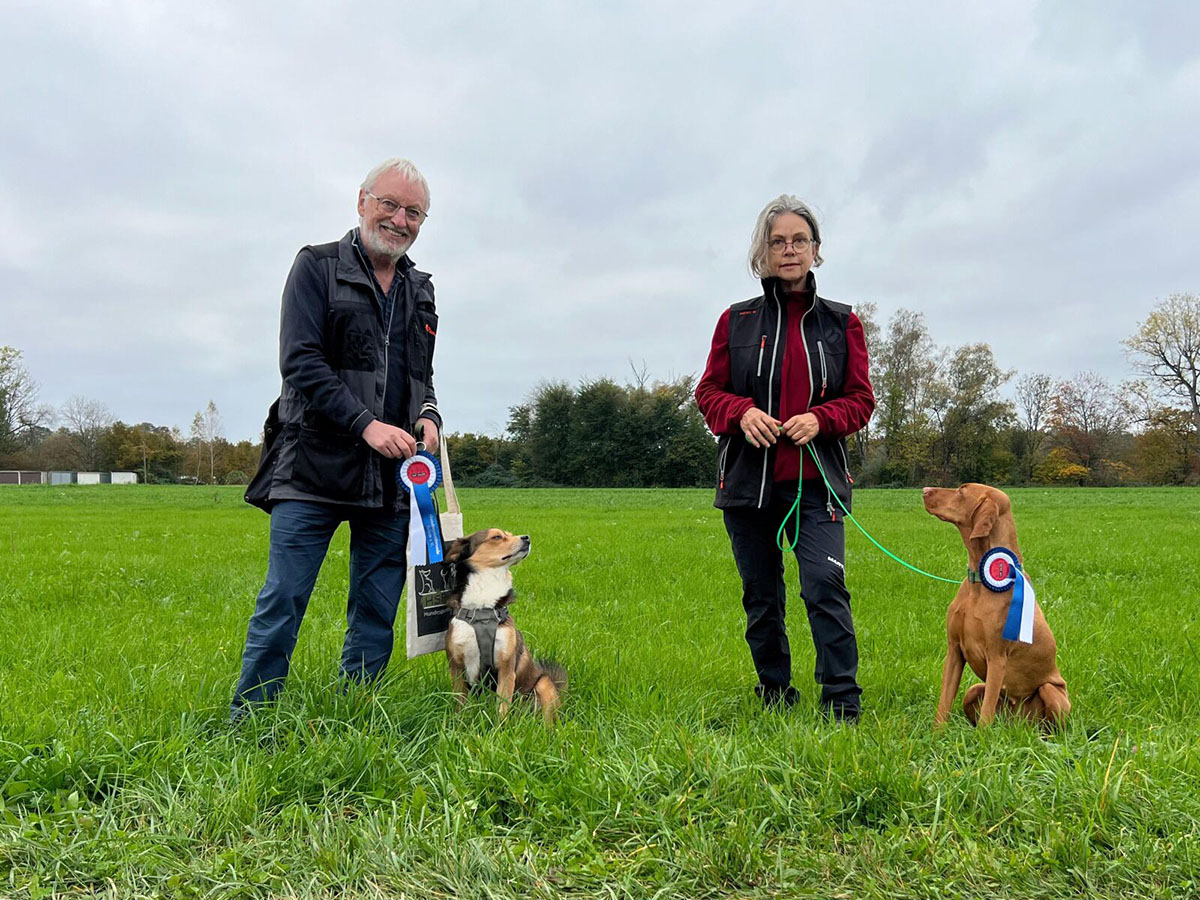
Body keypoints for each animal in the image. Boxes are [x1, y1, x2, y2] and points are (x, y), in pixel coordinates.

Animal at [443, 529, 566, 723]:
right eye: (497, 537)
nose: (527, 538)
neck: (483, 611)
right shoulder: (456, 666)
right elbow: (459, 704)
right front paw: (458, 724)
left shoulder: (506, 668)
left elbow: (502, 706)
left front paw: (500, 727)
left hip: (544, 684)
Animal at [922, 483, 1070, 729]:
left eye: (961, 491)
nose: (924, 490)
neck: (979, 582)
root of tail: (1019, 723)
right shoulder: (954, 650)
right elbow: (943, 705)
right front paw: (936, 735)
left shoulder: (997, 658)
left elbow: (986, 714)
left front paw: (981, 739)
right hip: (972, 691)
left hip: (1051, 692)